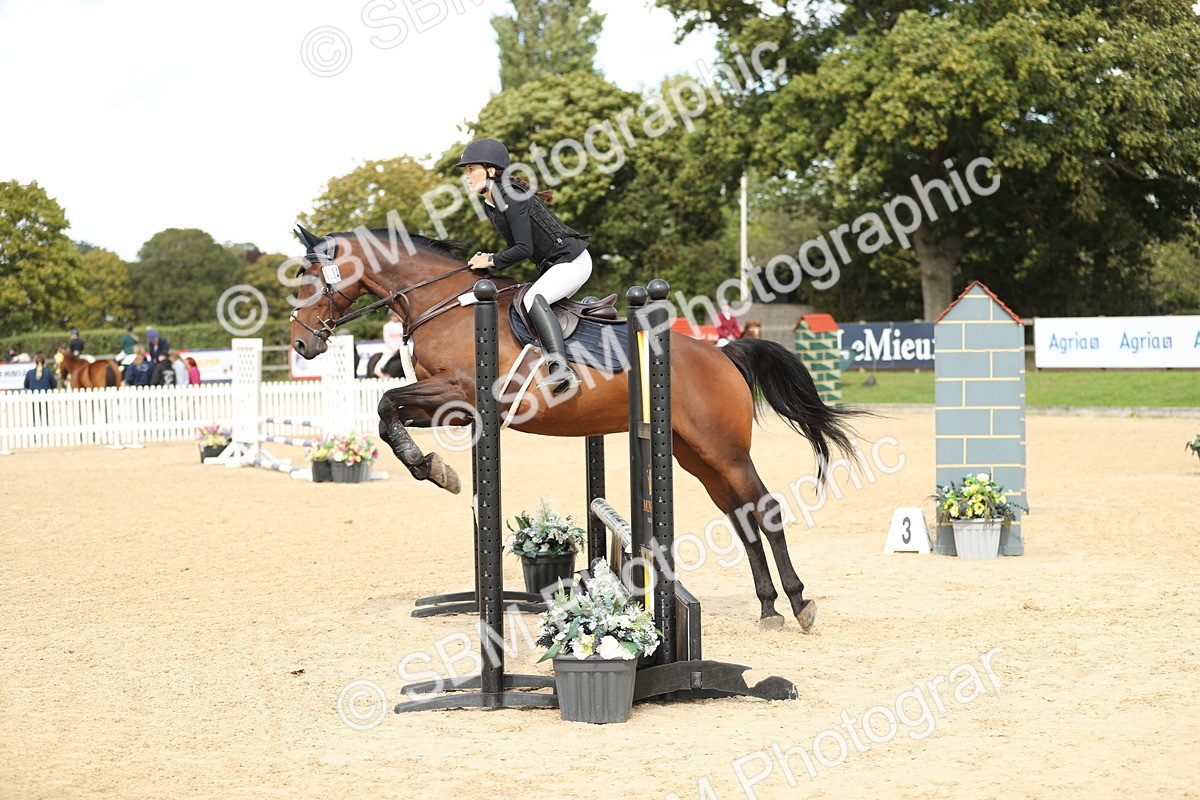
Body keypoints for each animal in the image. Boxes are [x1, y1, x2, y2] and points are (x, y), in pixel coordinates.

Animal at [289, 226, 863, 631]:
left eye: (311, 279)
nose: (300, 344)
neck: (445, 306)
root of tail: (721, 354)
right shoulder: (452, 406)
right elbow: (387, 413)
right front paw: (433, 467)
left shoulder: (460, 393)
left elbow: (386, 402)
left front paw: (432, 468)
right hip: (694, 455)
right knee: (742, 516)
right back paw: (768, 607)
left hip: (723, 449)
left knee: (765, 509)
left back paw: (799, 603)